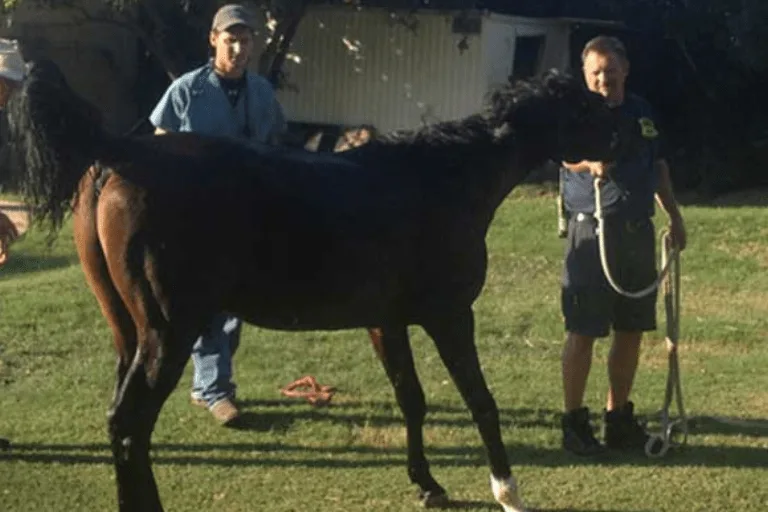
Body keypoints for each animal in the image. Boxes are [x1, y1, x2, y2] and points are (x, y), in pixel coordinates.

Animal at [7, 59, 635, 512]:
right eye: (585, 103)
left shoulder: (386, 321)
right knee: (130, 424)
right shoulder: (450, 316)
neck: (438, 180)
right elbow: (481, 401)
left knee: (120, 421)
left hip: (128, 332)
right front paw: (508, 491)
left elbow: (412, 398)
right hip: (168, 332)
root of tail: (122, 152)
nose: (629, 134)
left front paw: (427, 484)